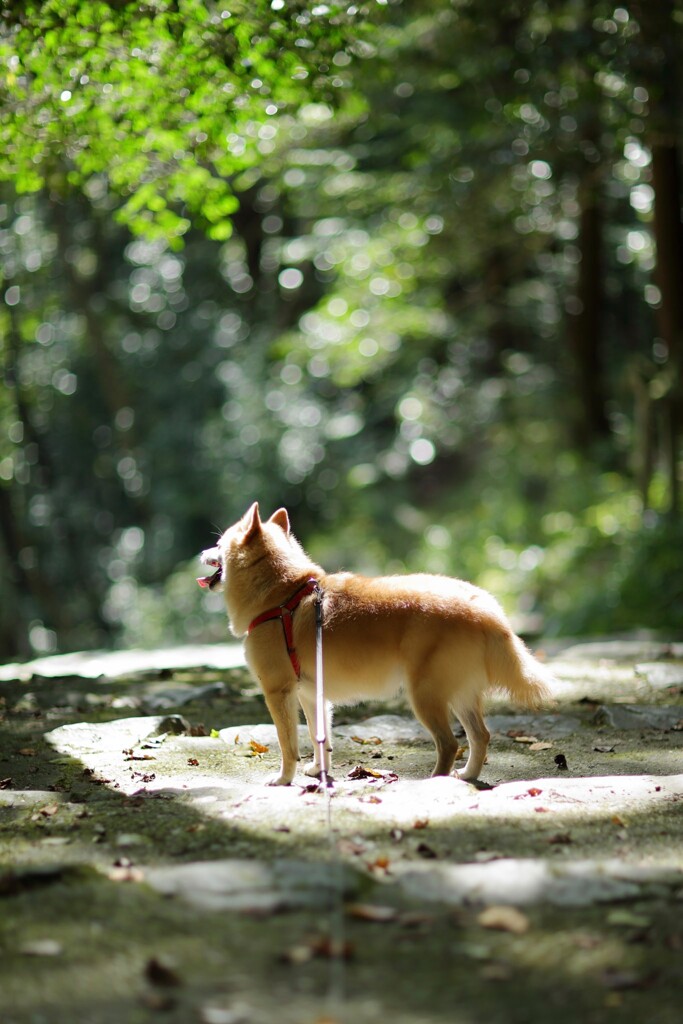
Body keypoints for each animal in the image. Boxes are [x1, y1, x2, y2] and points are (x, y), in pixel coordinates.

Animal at [198, 503, 557, 782]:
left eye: (218, 543)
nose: (200, 552)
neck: (285, 596)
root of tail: (487, 609)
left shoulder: (278, 692)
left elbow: (288, 746)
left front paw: (285, 778)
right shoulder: (311, 695)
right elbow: (318, 737)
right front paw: (318, 770)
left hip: (425, 696)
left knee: (449, 744)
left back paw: (436, 781)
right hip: (459, 695)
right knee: (480, 735)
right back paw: (468, 775)